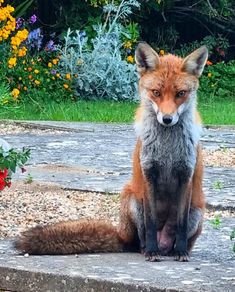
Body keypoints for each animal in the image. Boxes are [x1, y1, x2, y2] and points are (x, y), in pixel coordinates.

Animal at [14, 43, 207, 262]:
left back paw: (175, 250)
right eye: (156, 92)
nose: (167, 119)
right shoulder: (149, 174)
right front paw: (151, 251)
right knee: (138, 241)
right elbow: (150, 222)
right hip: (132, 200)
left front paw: (181, 251)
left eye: (180, 93)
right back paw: (147, 249)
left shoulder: (186, 175)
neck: (168, 149)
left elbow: (181, 224)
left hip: (197, 211)